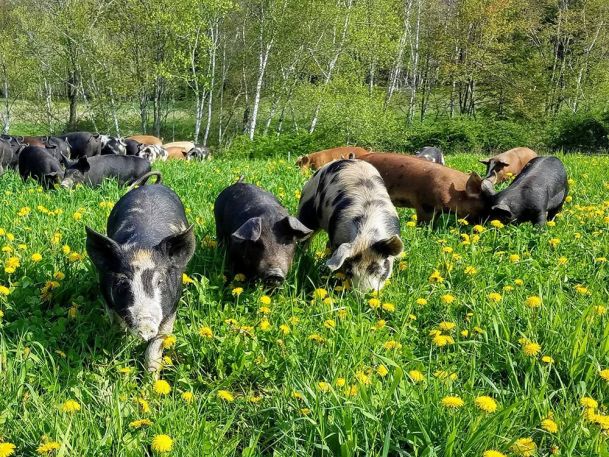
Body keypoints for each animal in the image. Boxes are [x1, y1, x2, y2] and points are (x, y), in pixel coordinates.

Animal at [85, 173, 194, 372]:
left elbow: (155, 348)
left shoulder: (172, 307)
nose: (145, 324)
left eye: (160, 282)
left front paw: (151, 379)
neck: (143, 245)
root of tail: (152, 185)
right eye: (123, 283)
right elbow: (118, 326)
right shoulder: (106, 296)